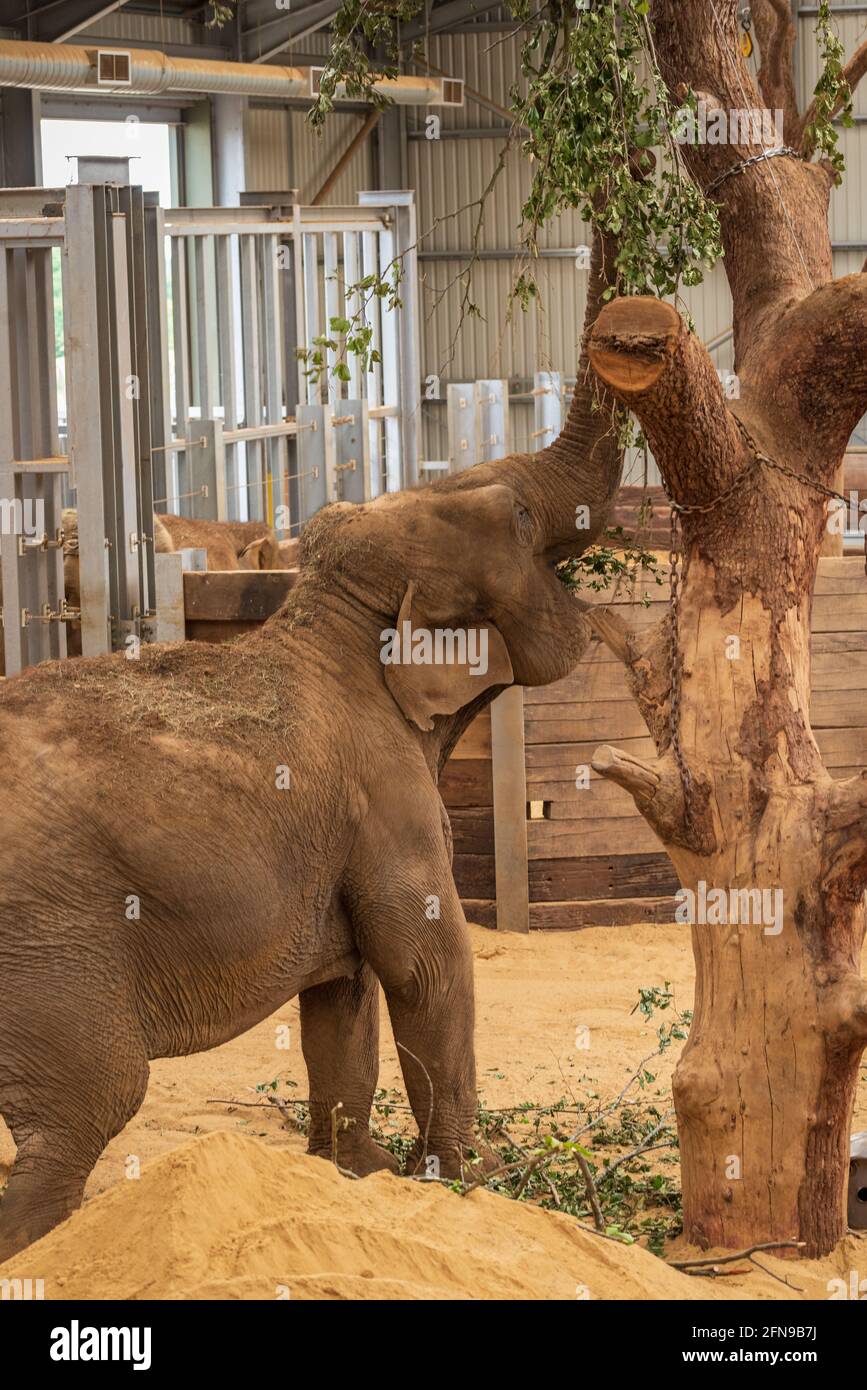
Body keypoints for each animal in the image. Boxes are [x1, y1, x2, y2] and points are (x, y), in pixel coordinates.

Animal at [0, 232, 622, 1261]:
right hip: (49, 946)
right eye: (522, 521)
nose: (635, 324)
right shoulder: (385, 797)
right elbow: (426, 965)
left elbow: (343, 993)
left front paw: (356, 1176)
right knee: (86, 1110)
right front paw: (471, 1182)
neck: (327, 616)